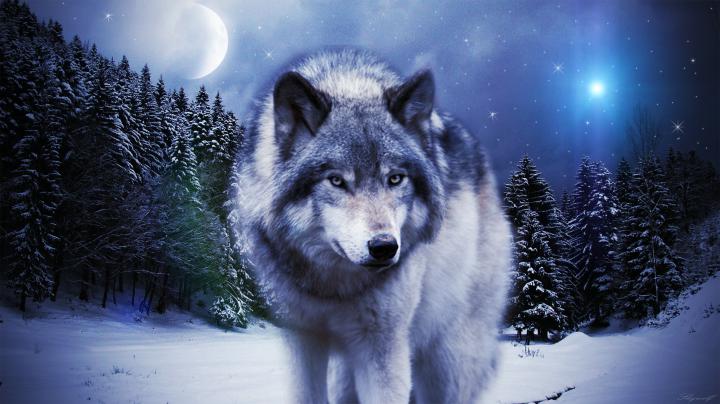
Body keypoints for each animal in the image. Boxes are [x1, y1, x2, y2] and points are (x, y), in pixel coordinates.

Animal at [233, 49, 512, 404]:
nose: (384, 247)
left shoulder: (383, 345)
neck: (332, 288)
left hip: (447, 360)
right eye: (337, 181)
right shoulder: (301, 337)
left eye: (395, 178)